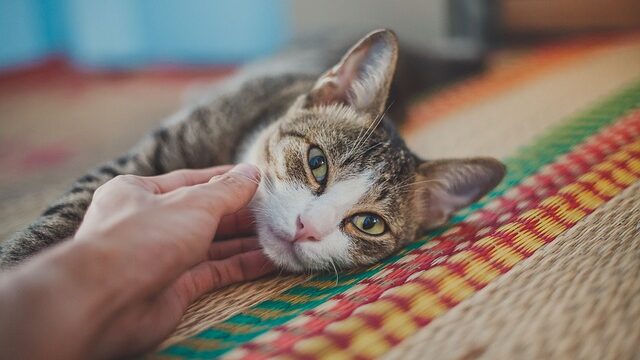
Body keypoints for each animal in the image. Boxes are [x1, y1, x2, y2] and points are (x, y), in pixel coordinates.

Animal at [2, 29, 508, 272]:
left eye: (369, 224)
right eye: (317, 163)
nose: (307, 227)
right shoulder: (144, 157)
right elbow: (63, 214)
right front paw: (18, 265)